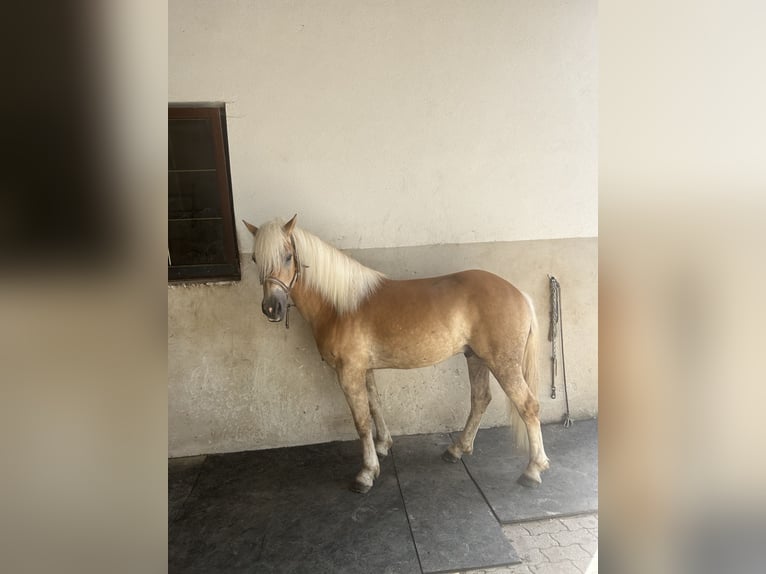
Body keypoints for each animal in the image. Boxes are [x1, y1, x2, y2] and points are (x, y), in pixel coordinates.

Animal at [243, 216, 548, 496]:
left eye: (287, 256)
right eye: (256, 258)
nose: (272, 308)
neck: (340, 307)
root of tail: (519, 294)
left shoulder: (349, 372)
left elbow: (361, 421)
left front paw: (366, 473)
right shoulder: (364, 369)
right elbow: (375, 406)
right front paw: (383, 446)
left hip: (503, 363)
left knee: (528, 406)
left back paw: (533, 470)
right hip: (475, 357)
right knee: (481, 399)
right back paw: (456, 449)